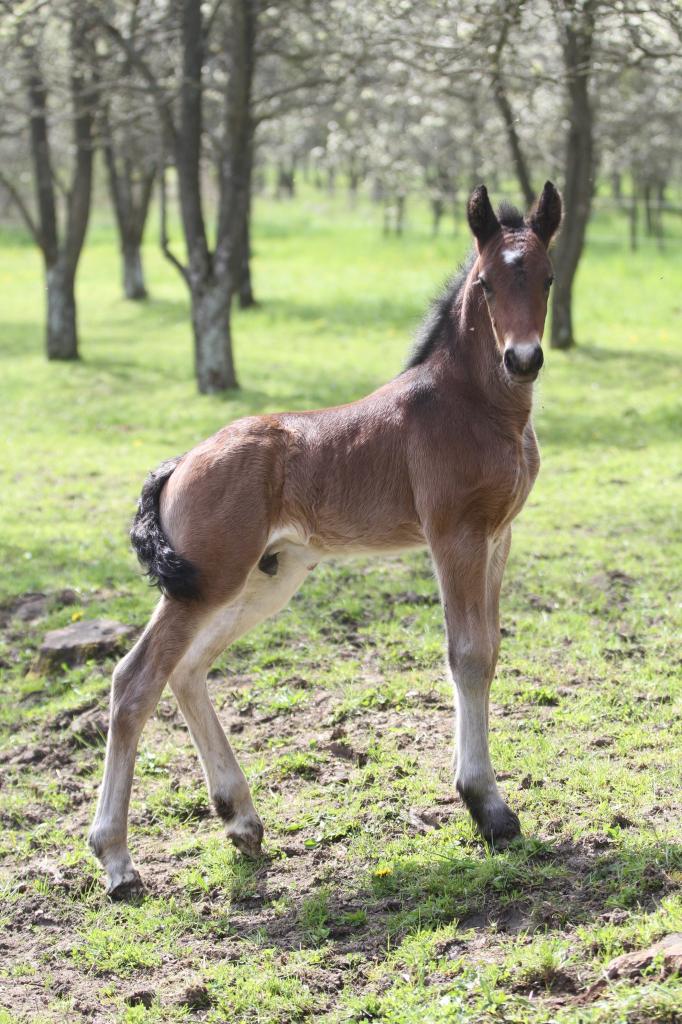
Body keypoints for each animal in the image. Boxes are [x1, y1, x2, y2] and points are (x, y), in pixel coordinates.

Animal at [87, 182, 561, 897]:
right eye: (484, 284)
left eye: (548, 278)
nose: (523, 358)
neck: (476, 407)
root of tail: (179, 464)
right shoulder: (454, 535)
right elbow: (468, 655)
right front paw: (489, 808)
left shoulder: (498, 538)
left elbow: (491, 651)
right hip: (211, 581)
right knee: (134, 679)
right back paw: (116, 859)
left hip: (263, 578)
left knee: (186, 670)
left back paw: (241, 819)